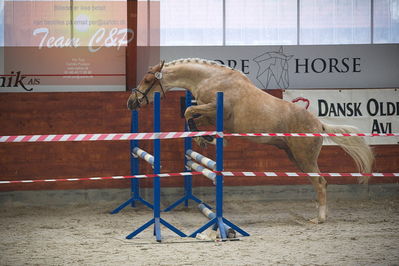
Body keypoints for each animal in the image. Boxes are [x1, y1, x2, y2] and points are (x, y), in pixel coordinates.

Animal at [128, 58, 376, 224]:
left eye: (148, 79)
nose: (131, 102)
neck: (211, 78)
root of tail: (319, 124)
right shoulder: (210, 113)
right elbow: (193, 116)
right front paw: (204, 138)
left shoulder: (216, 108)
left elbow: (190, 111)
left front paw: (205, 138)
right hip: (294, 157)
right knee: (318, 182)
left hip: (304, 158)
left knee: (321, 183)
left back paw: (320, 218)